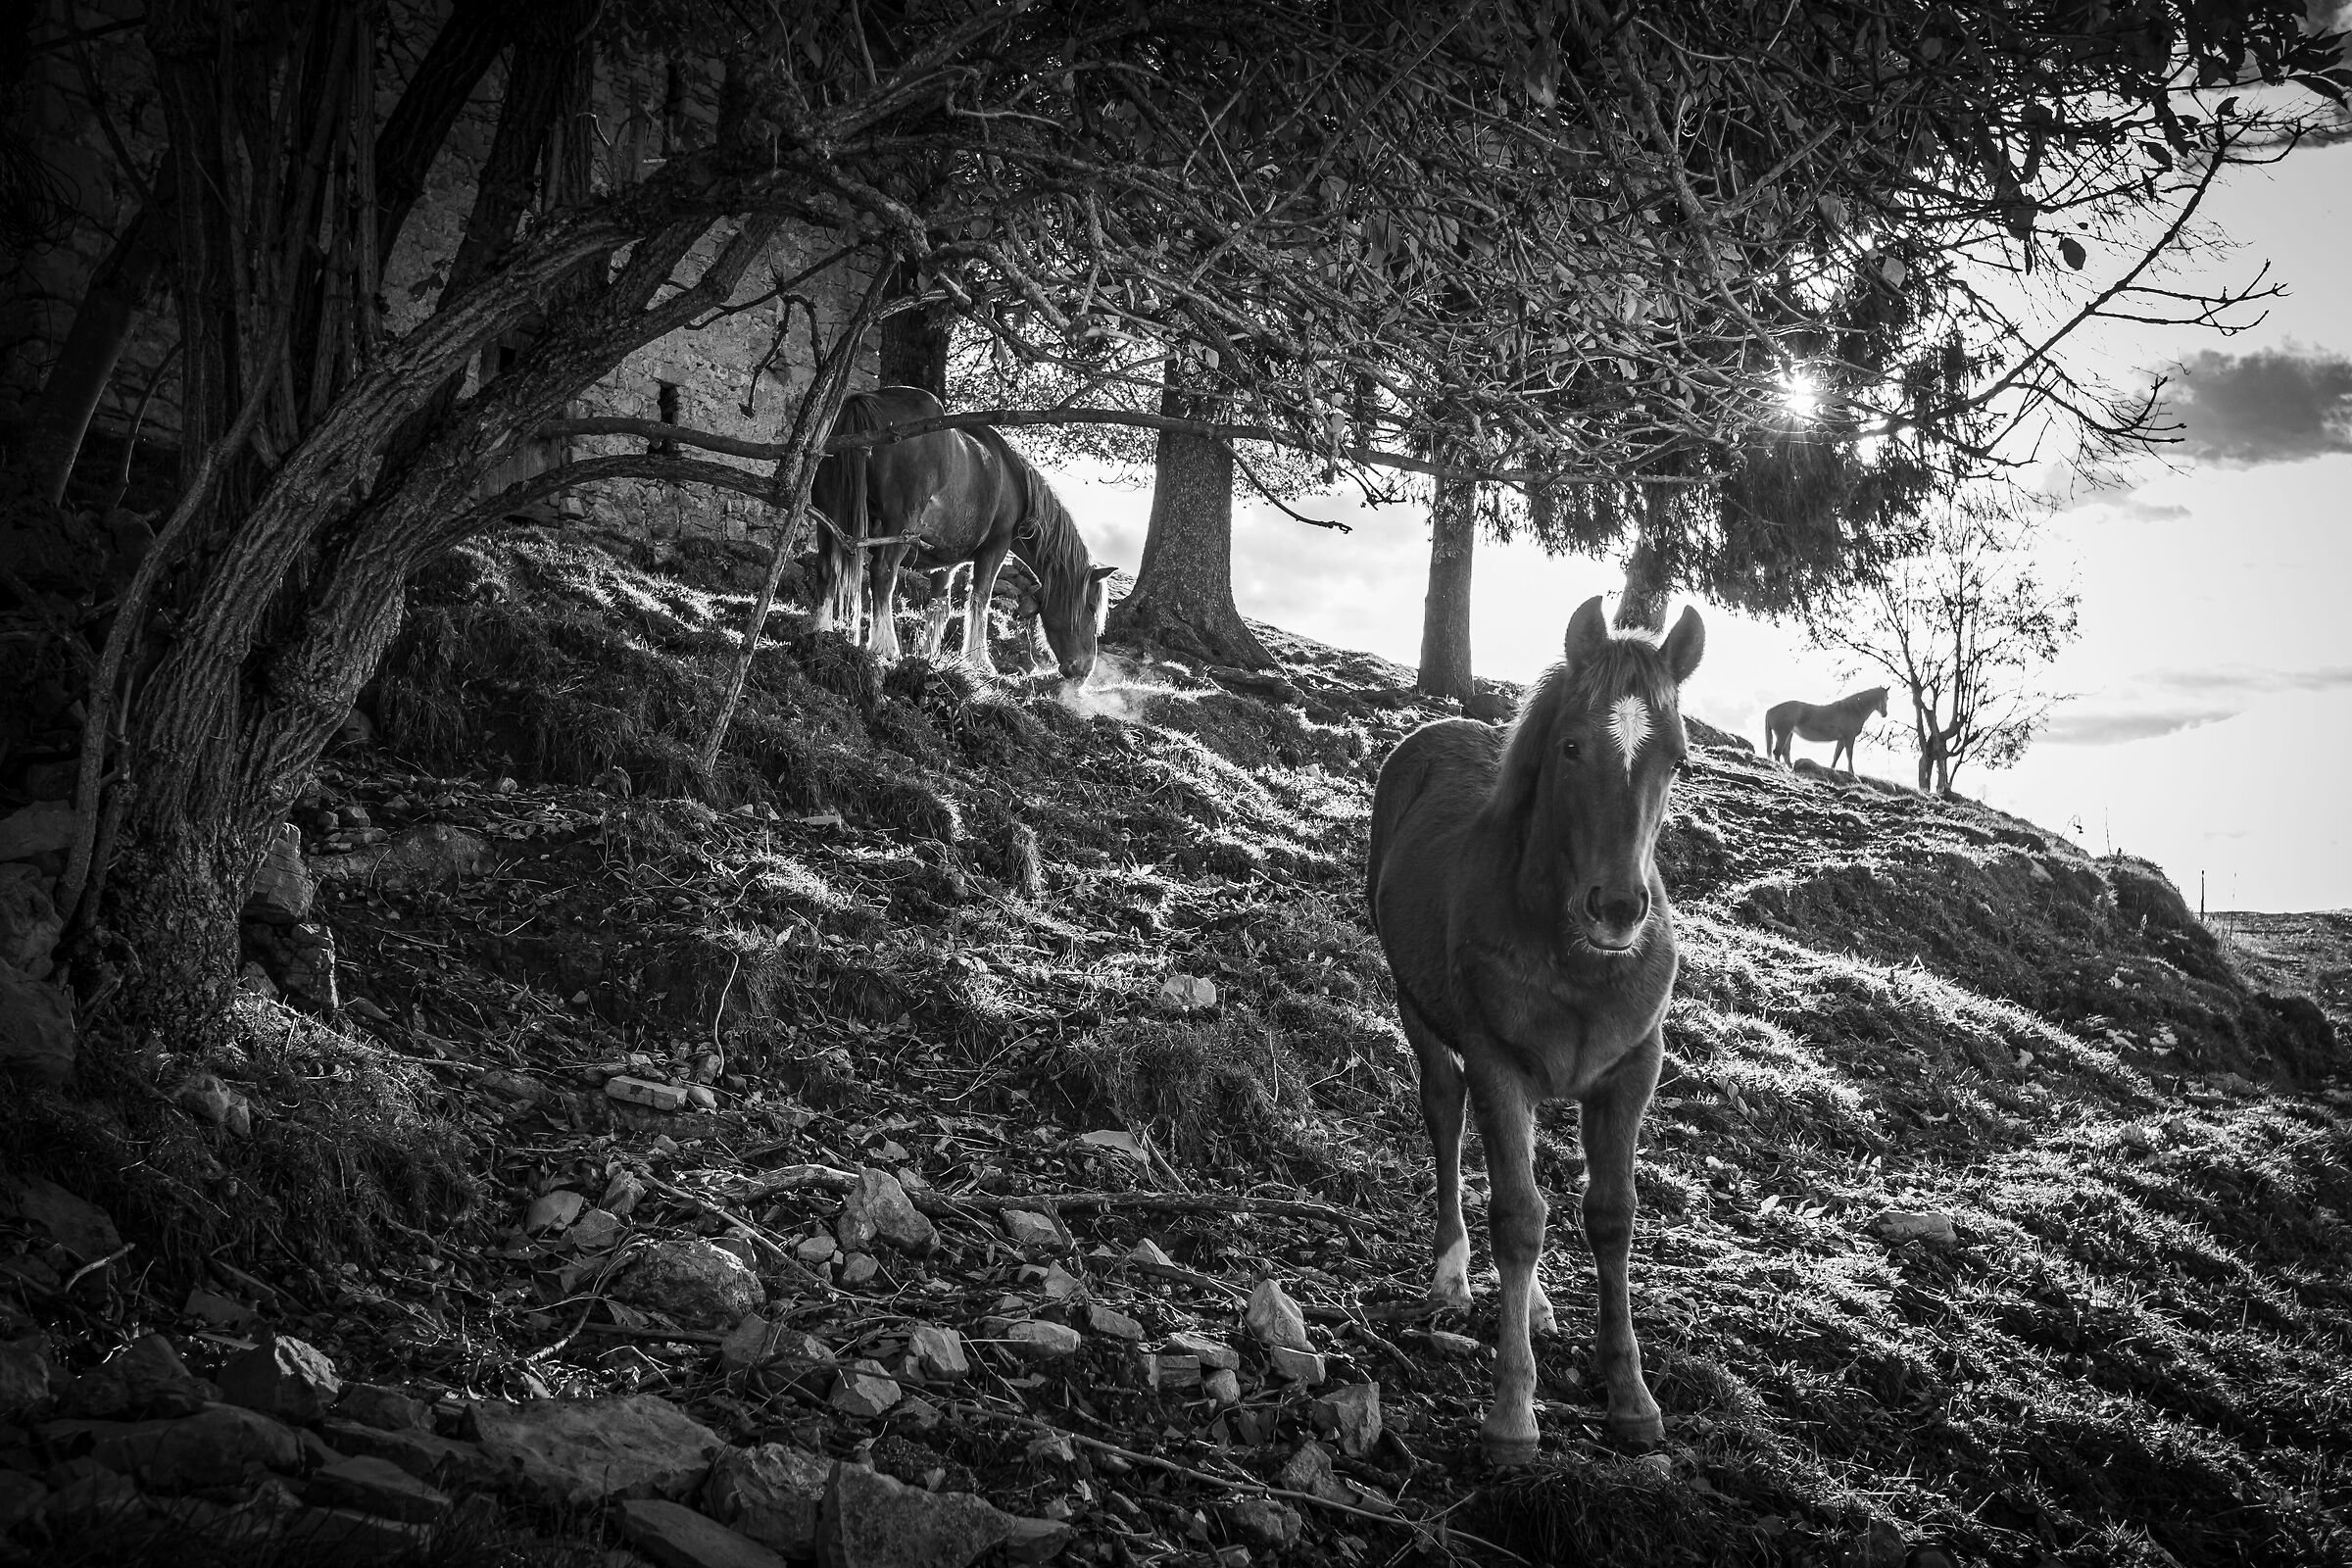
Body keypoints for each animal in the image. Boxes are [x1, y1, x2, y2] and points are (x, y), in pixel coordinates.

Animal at [811, 386, 1115, 680]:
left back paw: (822, 630)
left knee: (826, 567)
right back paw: (884, 646)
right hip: (898, 527)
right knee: (883, 573)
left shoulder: (945, 560)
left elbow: (939, 607)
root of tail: (866, 403)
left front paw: (928, 656)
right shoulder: (995, 549)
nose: (1084, 669)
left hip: (828, 517)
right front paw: (979, 660)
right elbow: (980, 600)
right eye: (1091, 607)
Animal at [1367, 596, 1705, 1463]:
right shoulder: (1497, 1060)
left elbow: (1609, 1216)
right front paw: (1513, 1414)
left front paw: (1632, 1399)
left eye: (1679, 761)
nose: (1617, 908)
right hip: (1418, 1009)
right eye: (1572, 746)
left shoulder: (1632, 1070)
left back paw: (1542, 1305)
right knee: (1445, 1113)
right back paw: (1452, 1275)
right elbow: (1518, 1219)